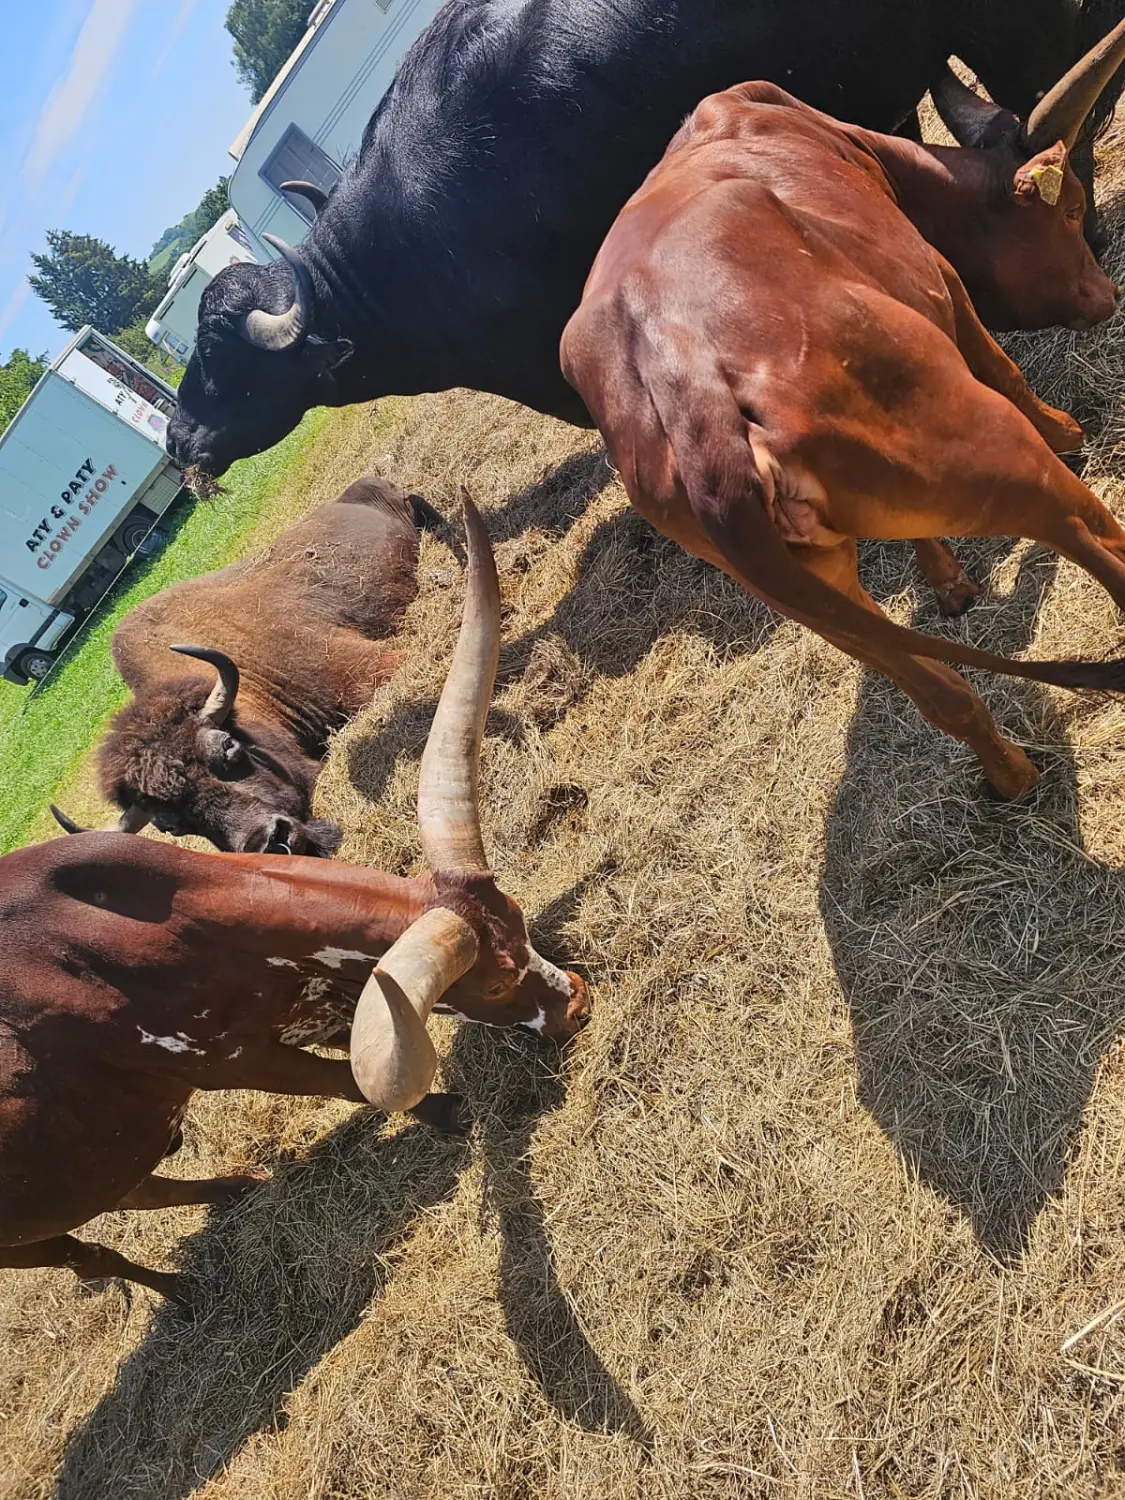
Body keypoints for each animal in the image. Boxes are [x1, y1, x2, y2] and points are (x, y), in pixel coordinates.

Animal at [564, 29, 1125, 804]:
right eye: (1068, 207)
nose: (1105, 295)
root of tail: (687, 392)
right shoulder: (940, 277)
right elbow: (999, 362)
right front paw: (1067, 430)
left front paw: (946, 579)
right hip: (994, 453)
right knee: (1078, 525)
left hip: (827, 600)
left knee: (940, 693)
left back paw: (1008, 772)